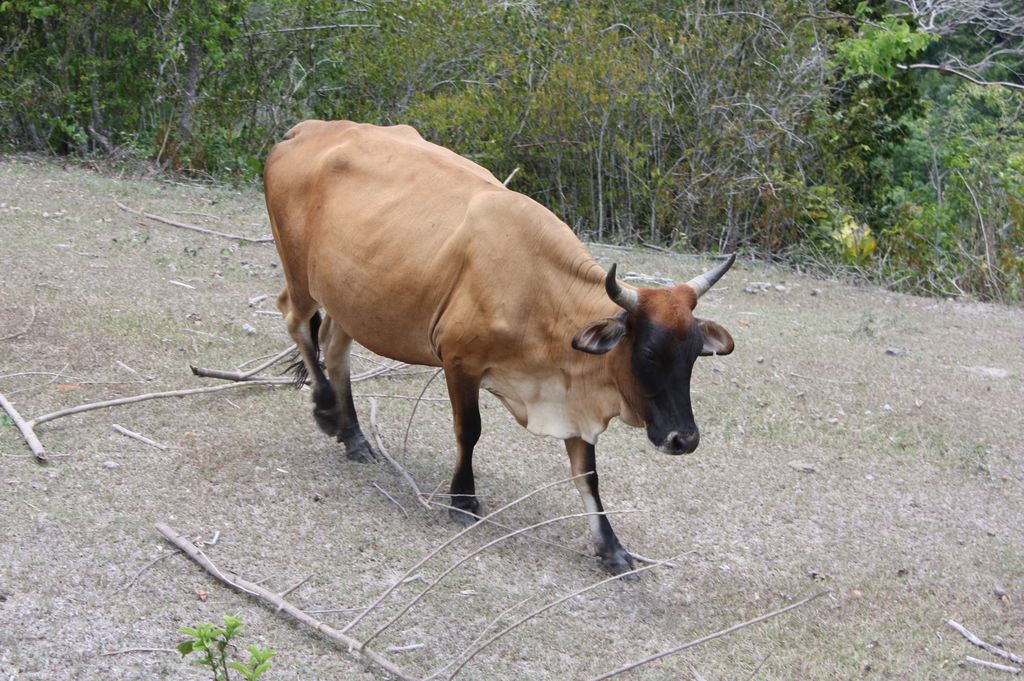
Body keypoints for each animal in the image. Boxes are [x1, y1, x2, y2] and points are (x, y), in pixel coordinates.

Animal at [264, 120, 735, 576]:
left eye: (694, 356)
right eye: (650, 354)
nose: (683, 439)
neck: (539, 287)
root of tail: (305, 130)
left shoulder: (570, 397)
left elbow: (587, 474)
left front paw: (612, 548)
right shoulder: (459, 361)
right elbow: (468, 430)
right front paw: (463, 499)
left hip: (350, 299)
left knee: (334, 349)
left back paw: (355, 437)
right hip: (300, 276)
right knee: (295, 321)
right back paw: (327, 409)